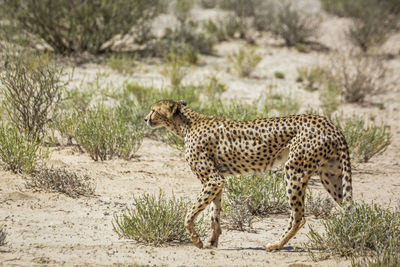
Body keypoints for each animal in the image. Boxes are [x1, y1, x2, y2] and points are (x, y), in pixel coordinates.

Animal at [145, 99, 352, 252]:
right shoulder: (217, 180)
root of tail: (329, 123)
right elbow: (214, 213)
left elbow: (190, 213)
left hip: (294, 170)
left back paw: (275, 245)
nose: (146, 119)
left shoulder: (212, 179)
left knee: (298, 216)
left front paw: (196, 240)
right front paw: (212, 241)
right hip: (331, 175)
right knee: (349, 206)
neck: (186, 124)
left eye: (153, 110)